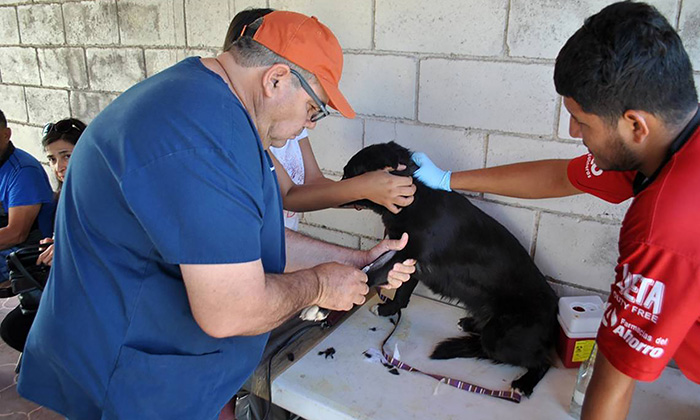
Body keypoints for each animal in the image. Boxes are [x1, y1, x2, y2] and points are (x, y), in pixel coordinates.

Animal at [344, 142, 556, 398]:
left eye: (349, 174)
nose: (334, 185)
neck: (414, 199)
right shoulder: (408, 259)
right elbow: (401, 294)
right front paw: (387, 309)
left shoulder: (404, 255)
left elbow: (371, 275)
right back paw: (470, 326)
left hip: (500, 337)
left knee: (538, 360)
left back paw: (523, 382)